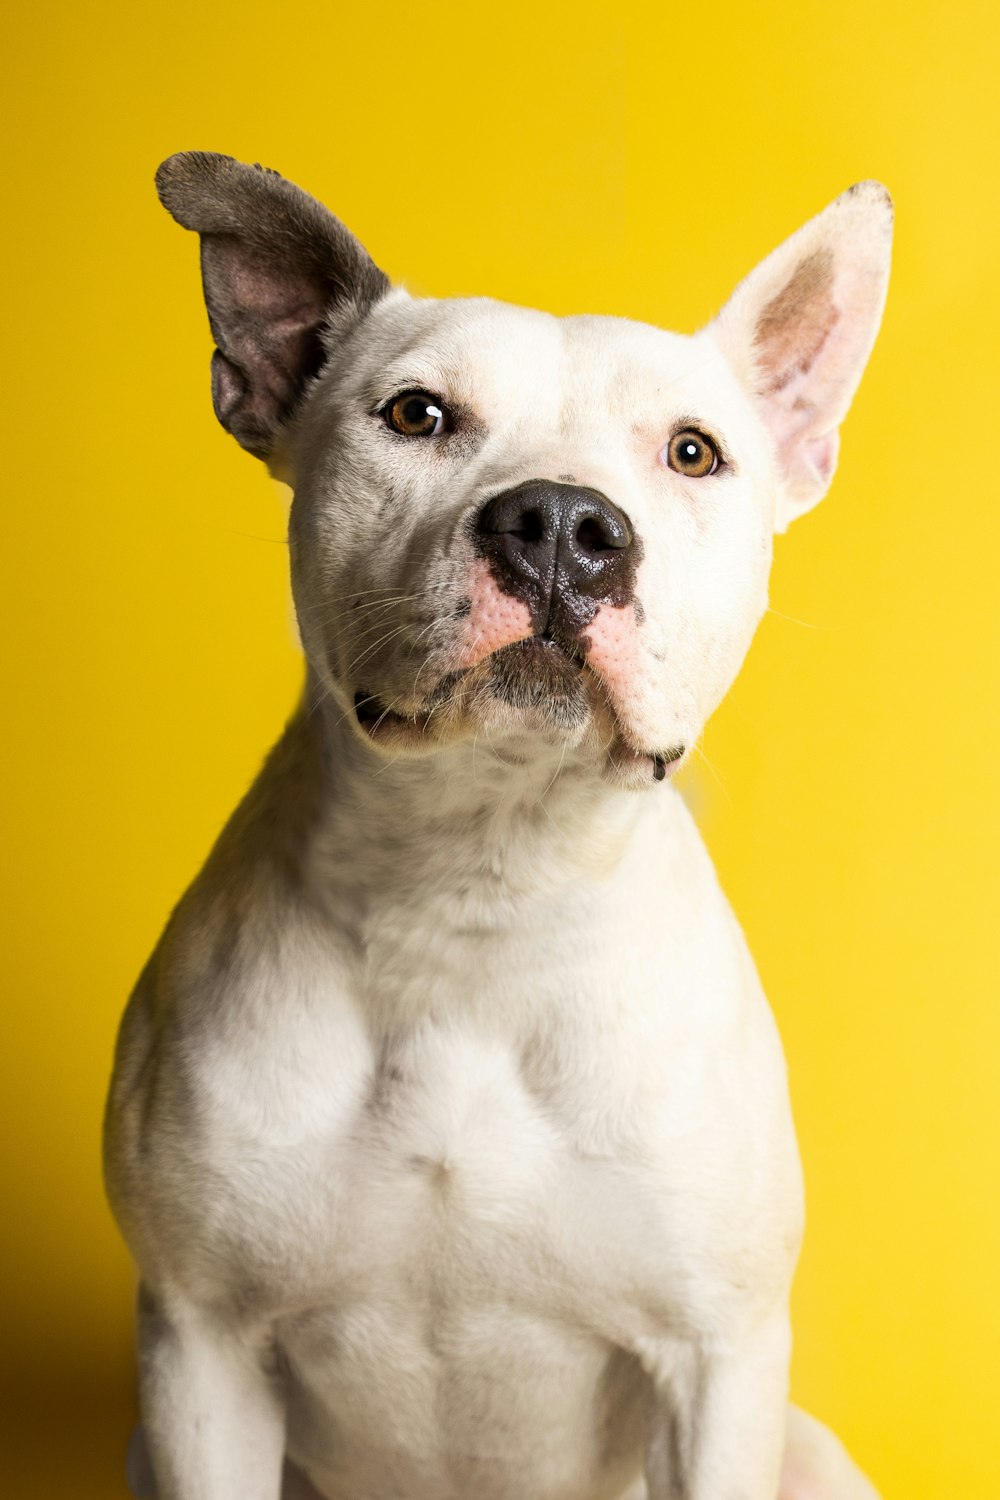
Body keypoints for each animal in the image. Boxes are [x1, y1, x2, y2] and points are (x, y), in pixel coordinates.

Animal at [103, 152, 893, 1500]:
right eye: (415, 415)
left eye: (693, 453)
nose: (563, 523)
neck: (480, 889)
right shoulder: (201, 1354)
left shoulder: (717, 1362)